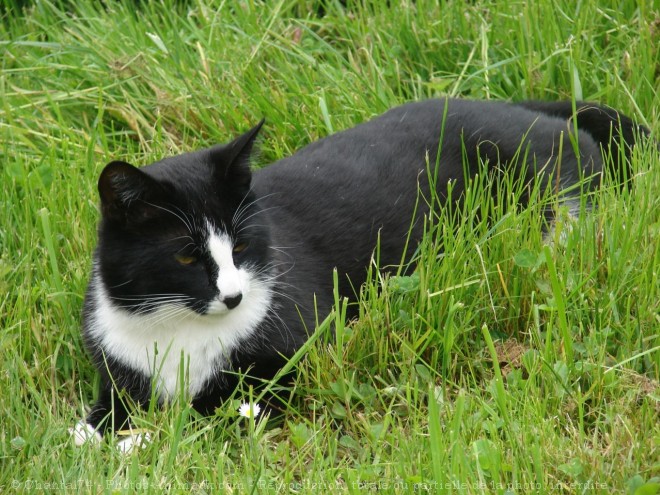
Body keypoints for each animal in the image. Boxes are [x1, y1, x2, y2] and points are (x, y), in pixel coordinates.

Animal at [69, 97, 648, 450]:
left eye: (241, 245)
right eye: (187, 257)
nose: (233, 297)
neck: (176, 328)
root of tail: (537, 112)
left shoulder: (292, 355)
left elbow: (217, 407)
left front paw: (139, 442)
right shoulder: (117, 367)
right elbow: (100, 417)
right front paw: (94, 434)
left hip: (558, 208)